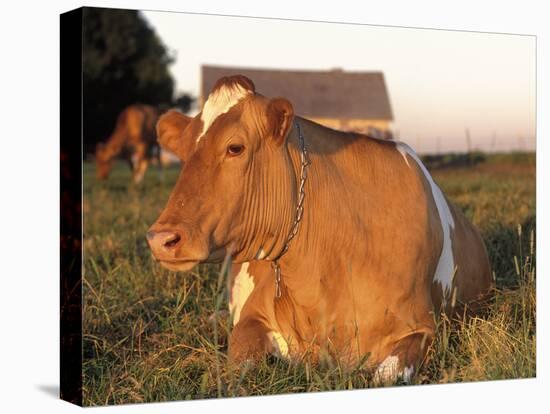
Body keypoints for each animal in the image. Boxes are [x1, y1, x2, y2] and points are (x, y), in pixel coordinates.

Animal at [144, 76, 494, 384]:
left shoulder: (424, 329)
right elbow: (237, 360)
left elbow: (386, 375)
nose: (160, 239)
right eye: (183, 153)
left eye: (235, 147)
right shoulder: (253, 316)